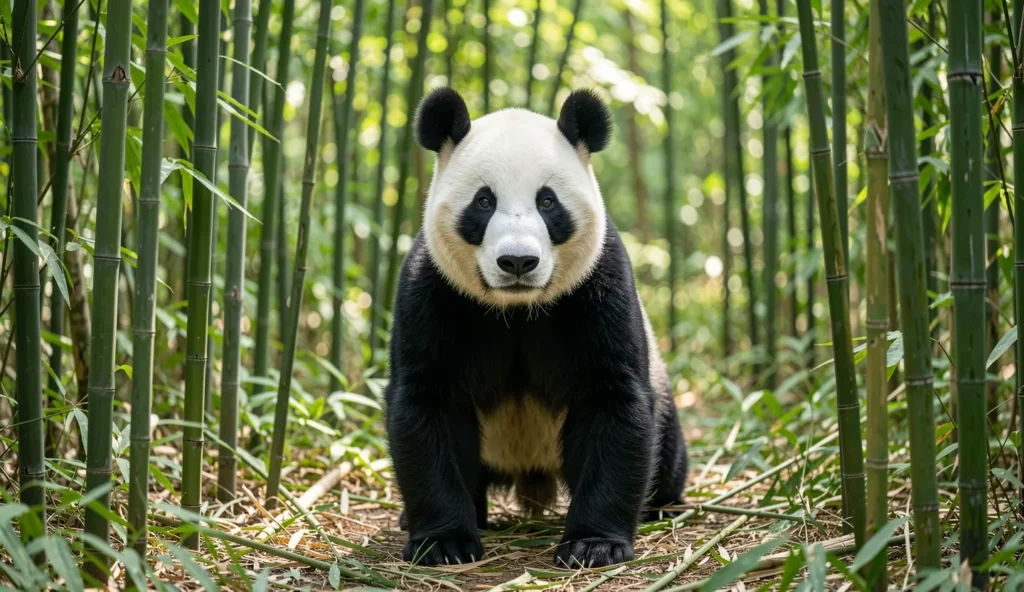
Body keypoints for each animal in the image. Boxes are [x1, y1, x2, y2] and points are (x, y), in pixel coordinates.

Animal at [385, 87, 688, 568]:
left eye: (547, 202)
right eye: (484, 201)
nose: (517, 262)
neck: (516, 308)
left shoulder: (595, 289)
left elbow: (611, 401)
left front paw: (594, 544)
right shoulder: (436, 291)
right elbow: (428, 405)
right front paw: (444, 543)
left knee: (667, 457)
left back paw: (663, 506)